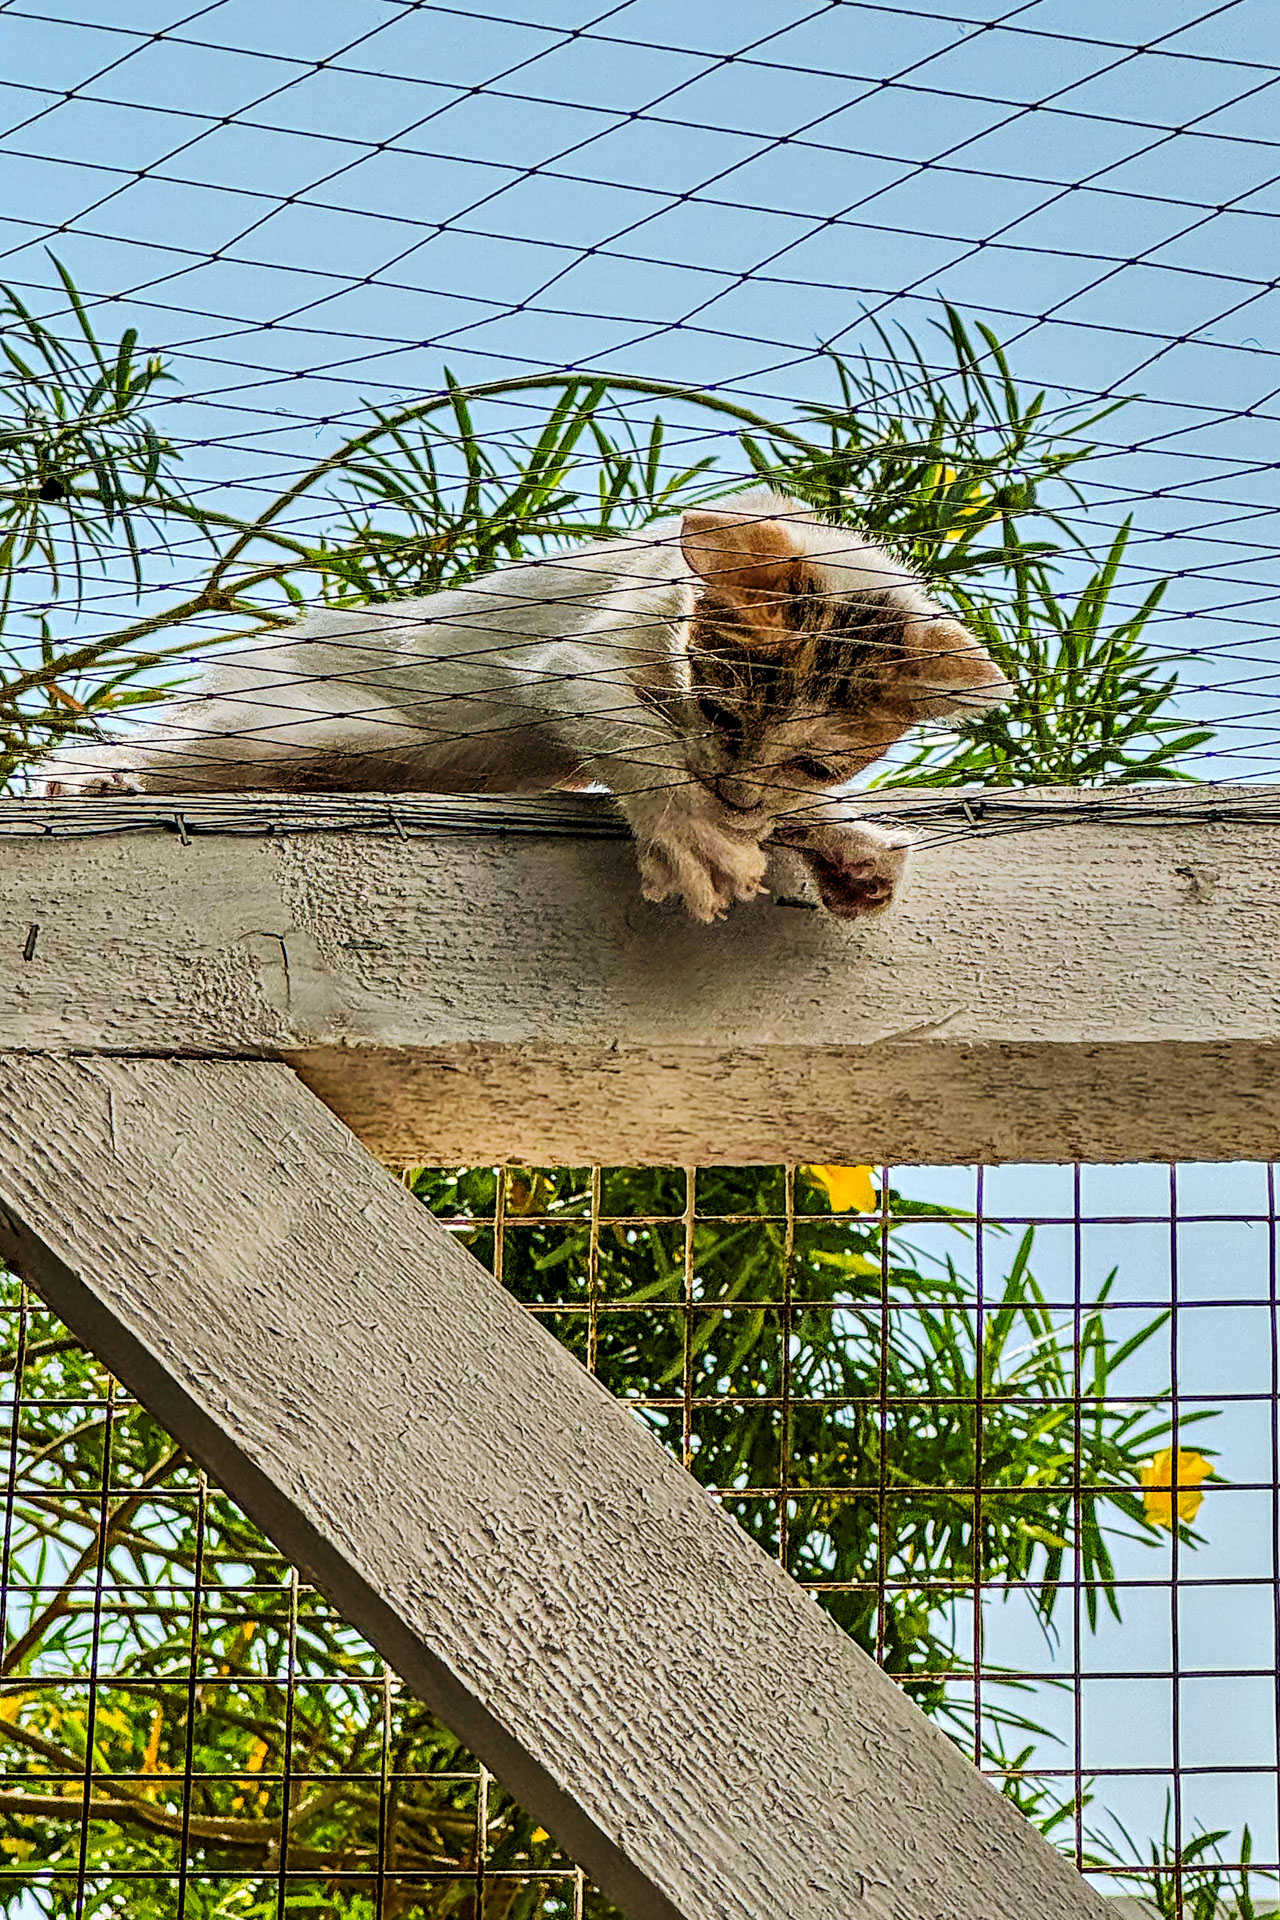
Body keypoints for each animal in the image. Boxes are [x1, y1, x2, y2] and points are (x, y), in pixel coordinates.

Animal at [35, 491, 1008, 921]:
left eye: (815, 760)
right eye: (725, 718)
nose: (731, 795)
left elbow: (781, 810)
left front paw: (841, 847)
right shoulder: (574, 658)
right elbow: (638, 735)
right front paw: (695, 835)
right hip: (274, 722)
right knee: (160, 745)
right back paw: (90, 777)